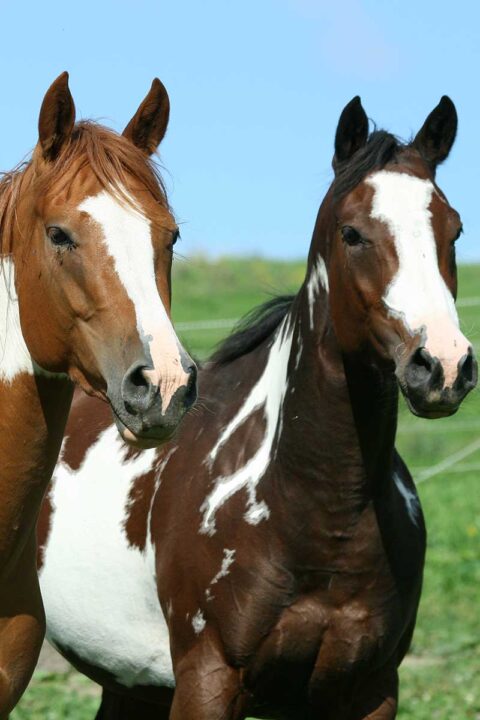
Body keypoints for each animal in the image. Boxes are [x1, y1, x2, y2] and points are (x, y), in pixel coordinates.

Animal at [38, 95, 477, 719]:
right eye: (352, 233)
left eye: (454, 229)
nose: (442, 365)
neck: (318, 515)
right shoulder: (208, 680)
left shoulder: (374, 689)